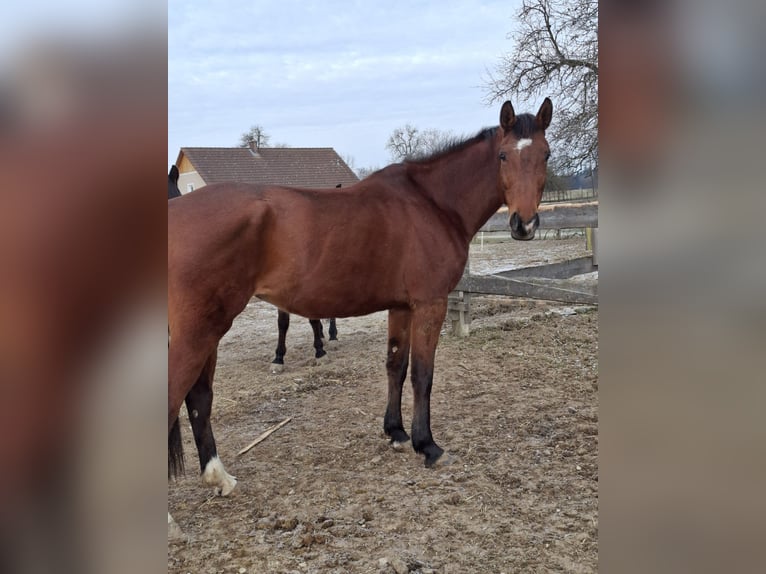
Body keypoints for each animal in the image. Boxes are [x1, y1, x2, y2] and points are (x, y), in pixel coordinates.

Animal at [170, 97, 552, 498]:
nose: (524, 224)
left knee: (199, 398)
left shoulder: (401, 306)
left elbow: (396, 365)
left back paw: (219, 477)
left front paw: (396, 432)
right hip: (199, 331)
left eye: (545, 154)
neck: (432, 202)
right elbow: (422, 374)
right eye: (504, 156)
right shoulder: (430, 304)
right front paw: (428, 445)